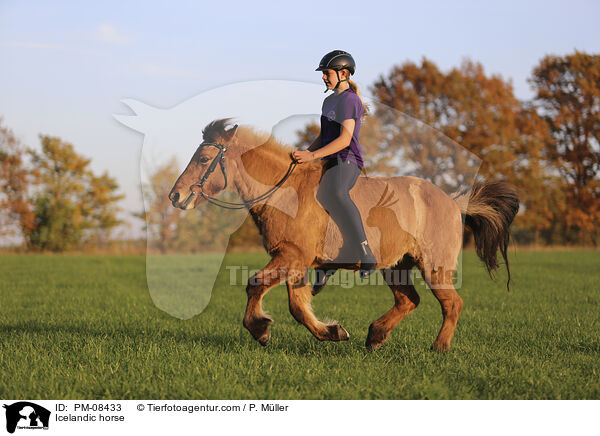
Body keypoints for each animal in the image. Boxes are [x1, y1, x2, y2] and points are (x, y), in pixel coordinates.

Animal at [169, 118, 520, 350]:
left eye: (204, 158)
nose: (175, 196)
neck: (286, 191)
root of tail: (453, 201)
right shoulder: (295, 261)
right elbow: (298, 307)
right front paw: (332, 332)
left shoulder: (291, 255)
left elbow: (255, 285)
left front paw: (260, 329)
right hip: (396, 266)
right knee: (409, 300)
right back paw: (375, 336)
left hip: (435, 267)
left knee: (452, 304)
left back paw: (439, 348)